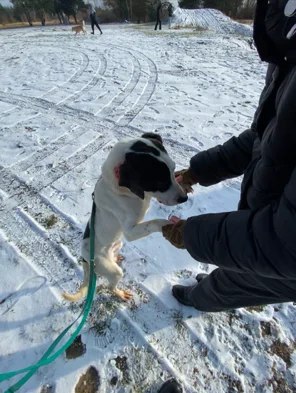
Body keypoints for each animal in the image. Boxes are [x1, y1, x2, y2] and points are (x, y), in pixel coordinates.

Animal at [62, 133, 187, 302]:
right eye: (160, 181)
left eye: (173, 170)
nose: (184, 198)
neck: (121, 190)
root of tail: (85, 258)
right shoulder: (130, 231)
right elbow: (154, 222)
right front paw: (170, 226)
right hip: (113, 270)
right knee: (111, 287)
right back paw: (120, 294)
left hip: (118, 244)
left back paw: (116, 258)